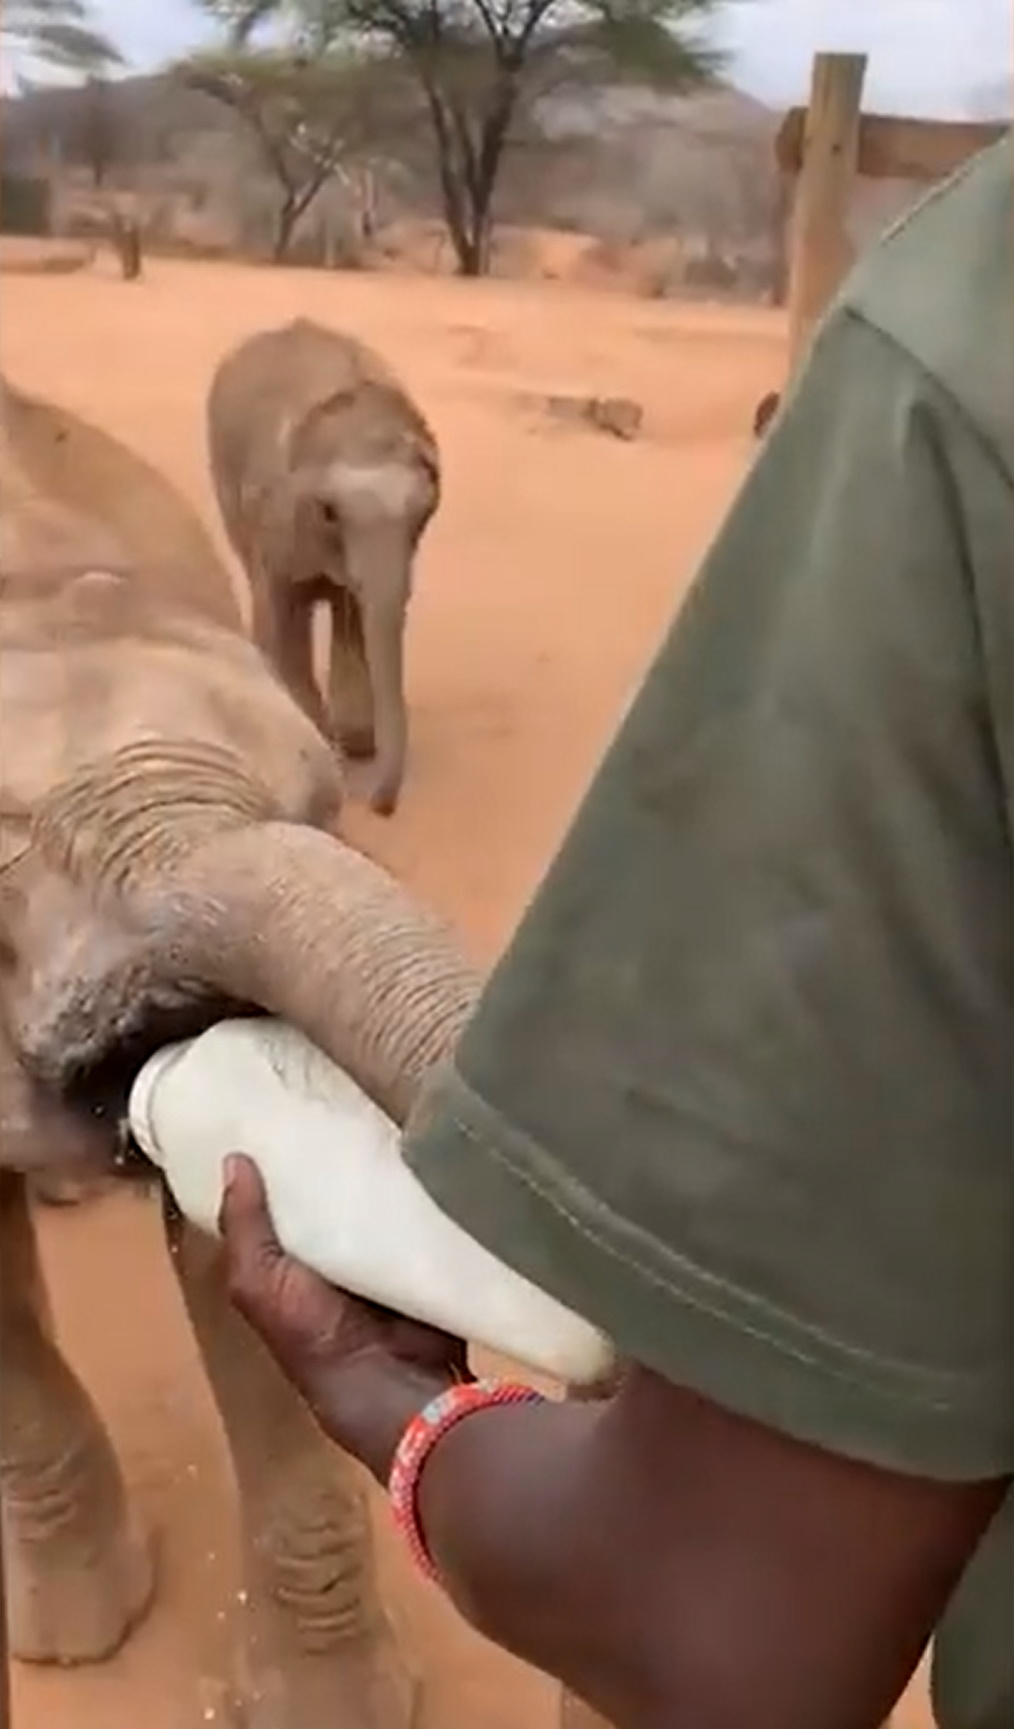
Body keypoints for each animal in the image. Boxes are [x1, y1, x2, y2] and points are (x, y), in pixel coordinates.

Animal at [208, 314, 437, 812]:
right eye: (330, 512)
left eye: (425, 514)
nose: (378, 805)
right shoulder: (276, 509)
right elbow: (285, 601)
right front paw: (317, 735)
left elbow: (355, 606)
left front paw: (356, 740)